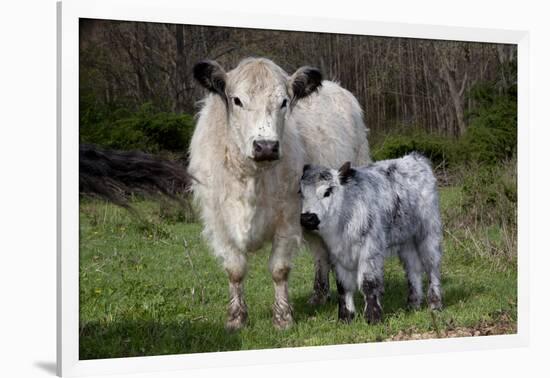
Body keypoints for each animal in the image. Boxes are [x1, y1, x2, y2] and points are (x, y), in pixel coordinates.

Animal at [189, 57, 370, 330]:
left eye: (284, 101)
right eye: (237, 100)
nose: (266, 146)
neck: (252, 180)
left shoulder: (289, 217)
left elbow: (279, 269)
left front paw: (283, 317)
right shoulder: (219, 222)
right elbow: (234, 270)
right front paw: (236, 318)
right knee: (321, 252)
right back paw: (319, 295)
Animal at [300, 154, 446, 322]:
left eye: (327, 192)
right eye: (301, 193)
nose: (307, 218)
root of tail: (415, 157)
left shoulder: (370, 250)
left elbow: (368, 282)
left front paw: (373, 317)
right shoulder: (337, 254)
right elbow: (343, 286)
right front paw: (345, 317)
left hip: (429, 232)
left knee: (432, 266)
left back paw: (435, 304)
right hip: (406, 239)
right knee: (413, 268)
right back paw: (413, 304)